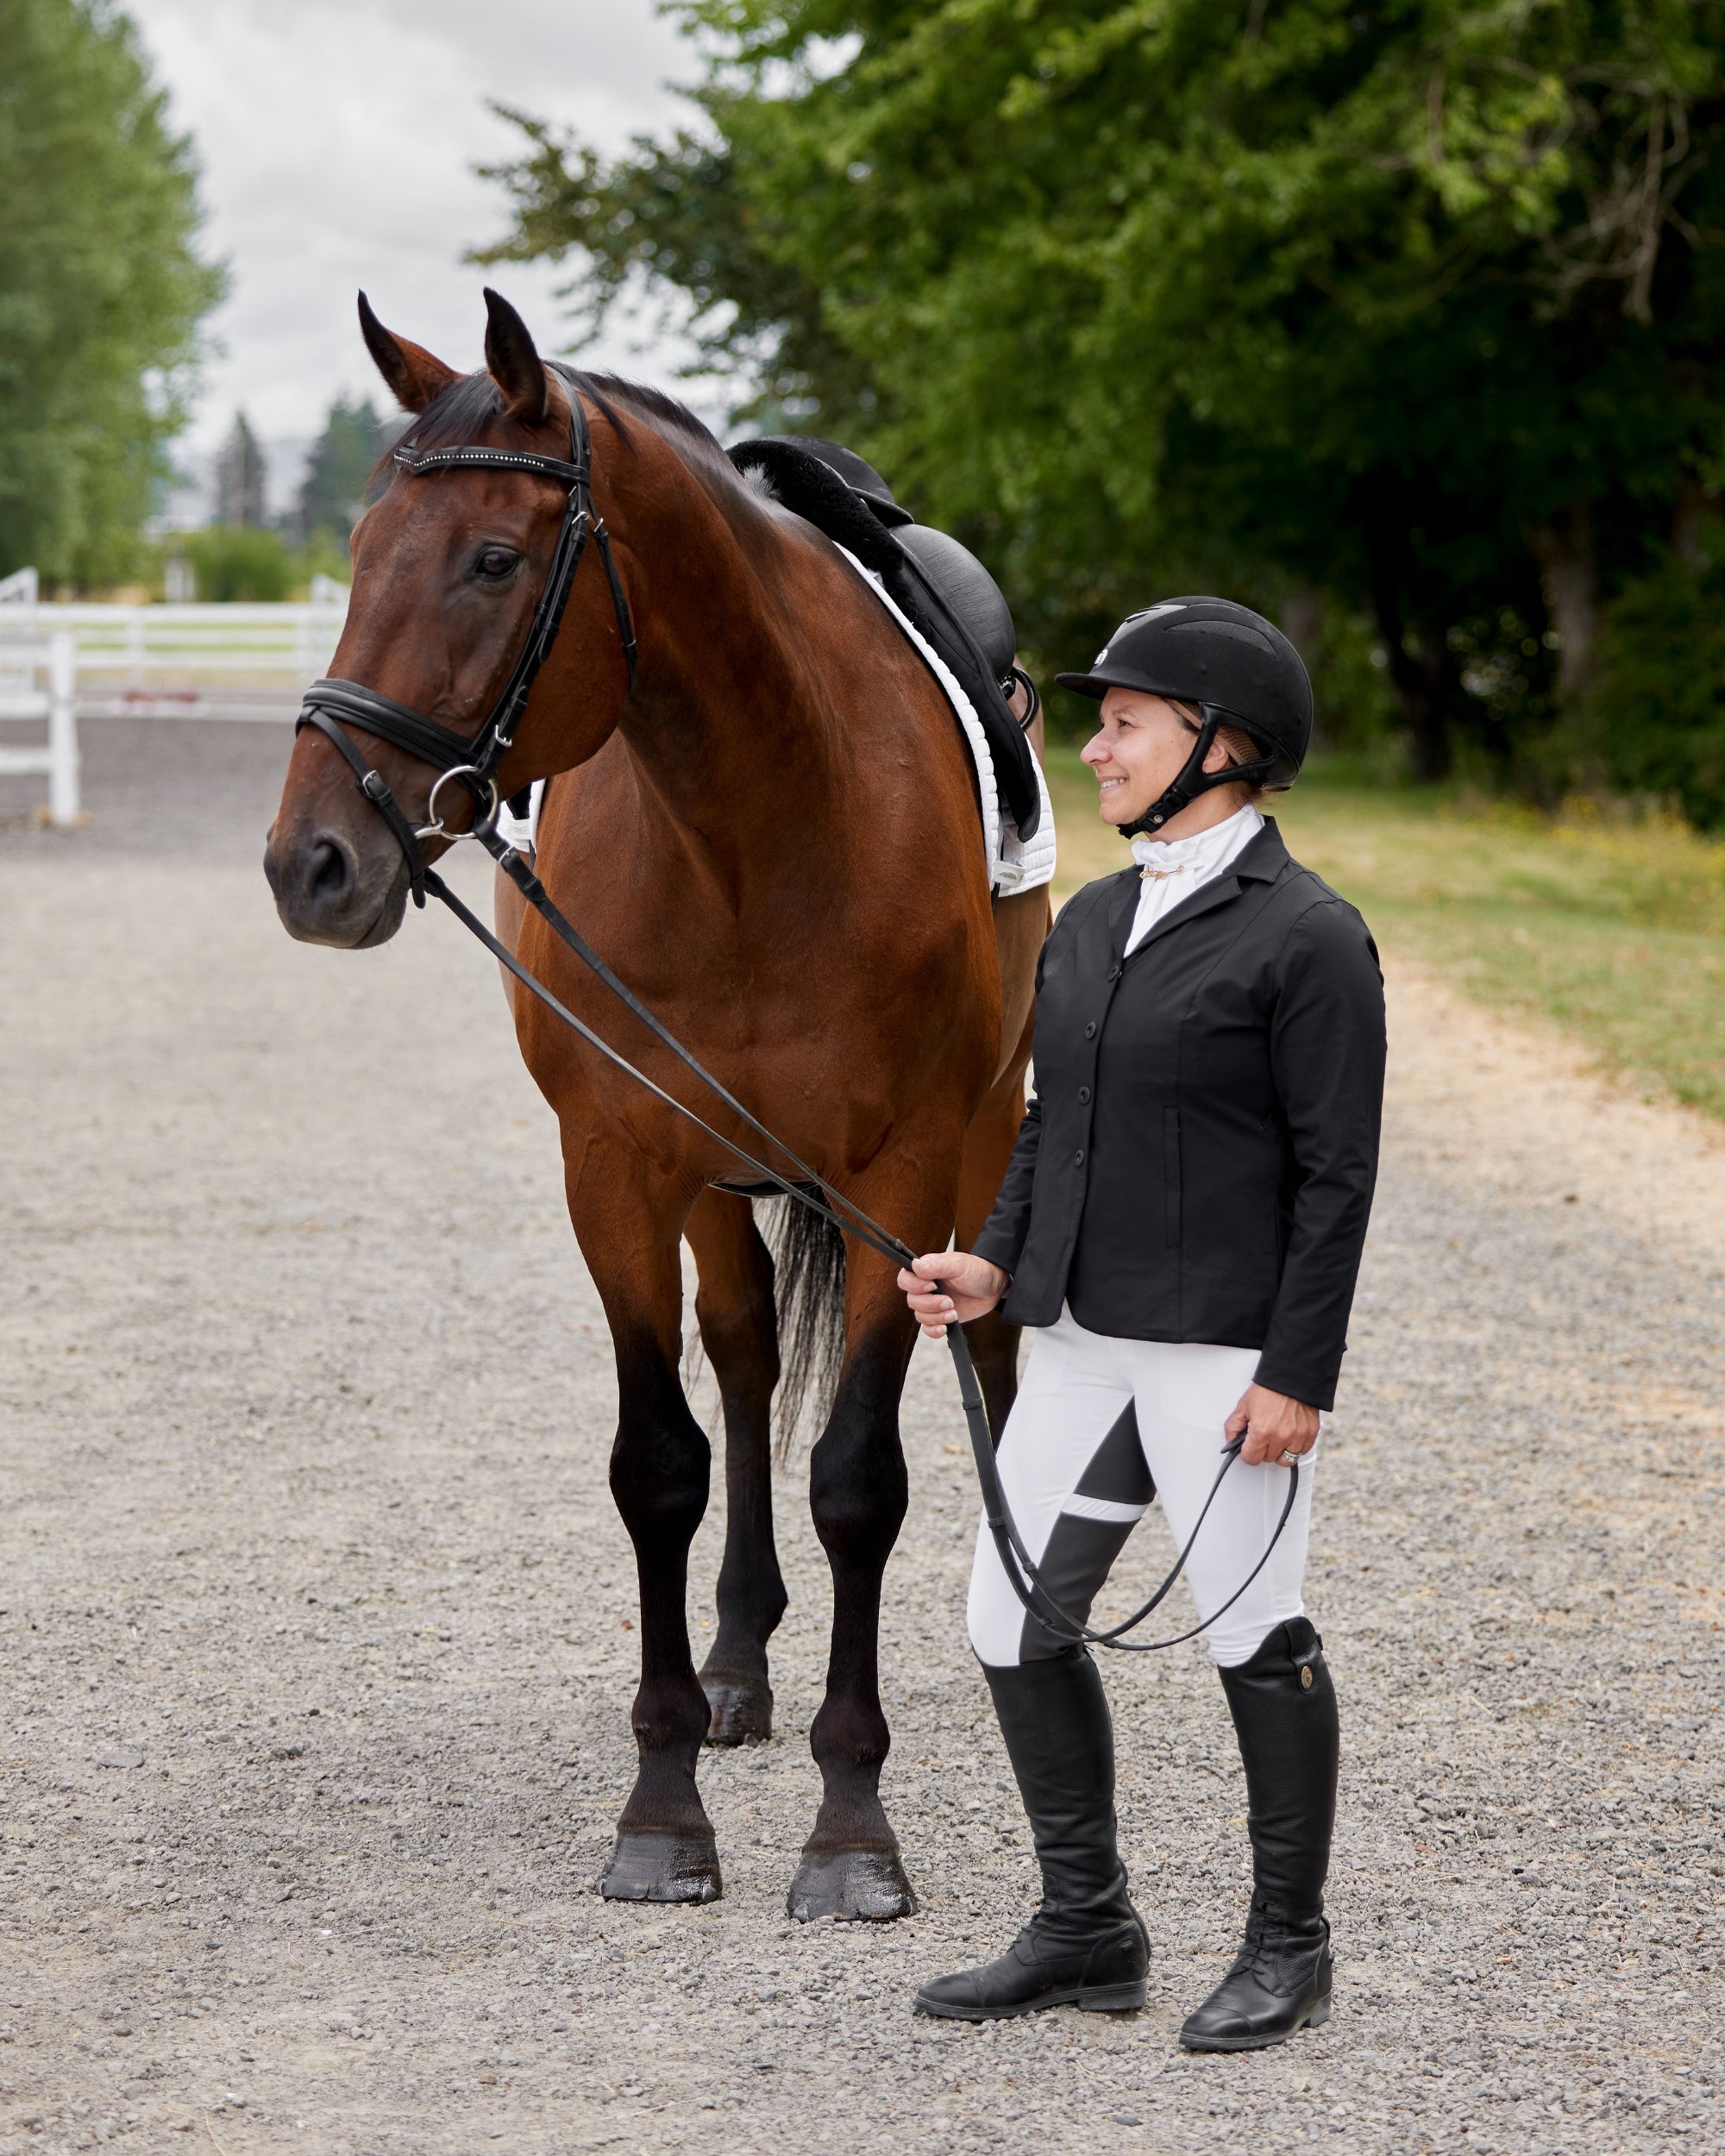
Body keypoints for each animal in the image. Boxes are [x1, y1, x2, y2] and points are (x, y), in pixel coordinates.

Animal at [263, 288, 1048, 1921]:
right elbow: (659, 1466)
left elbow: (859, 1478)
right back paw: (742, 1659)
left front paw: (852, 1831)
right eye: (358, 552)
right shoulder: (616, 1163)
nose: (312, 862)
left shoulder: (903, 1169)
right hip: (711, 1176)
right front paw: (664, 1804)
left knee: (994, 1348)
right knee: (743, 1359)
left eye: (494, 561)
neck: (761, 815)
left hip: (981, 1133)